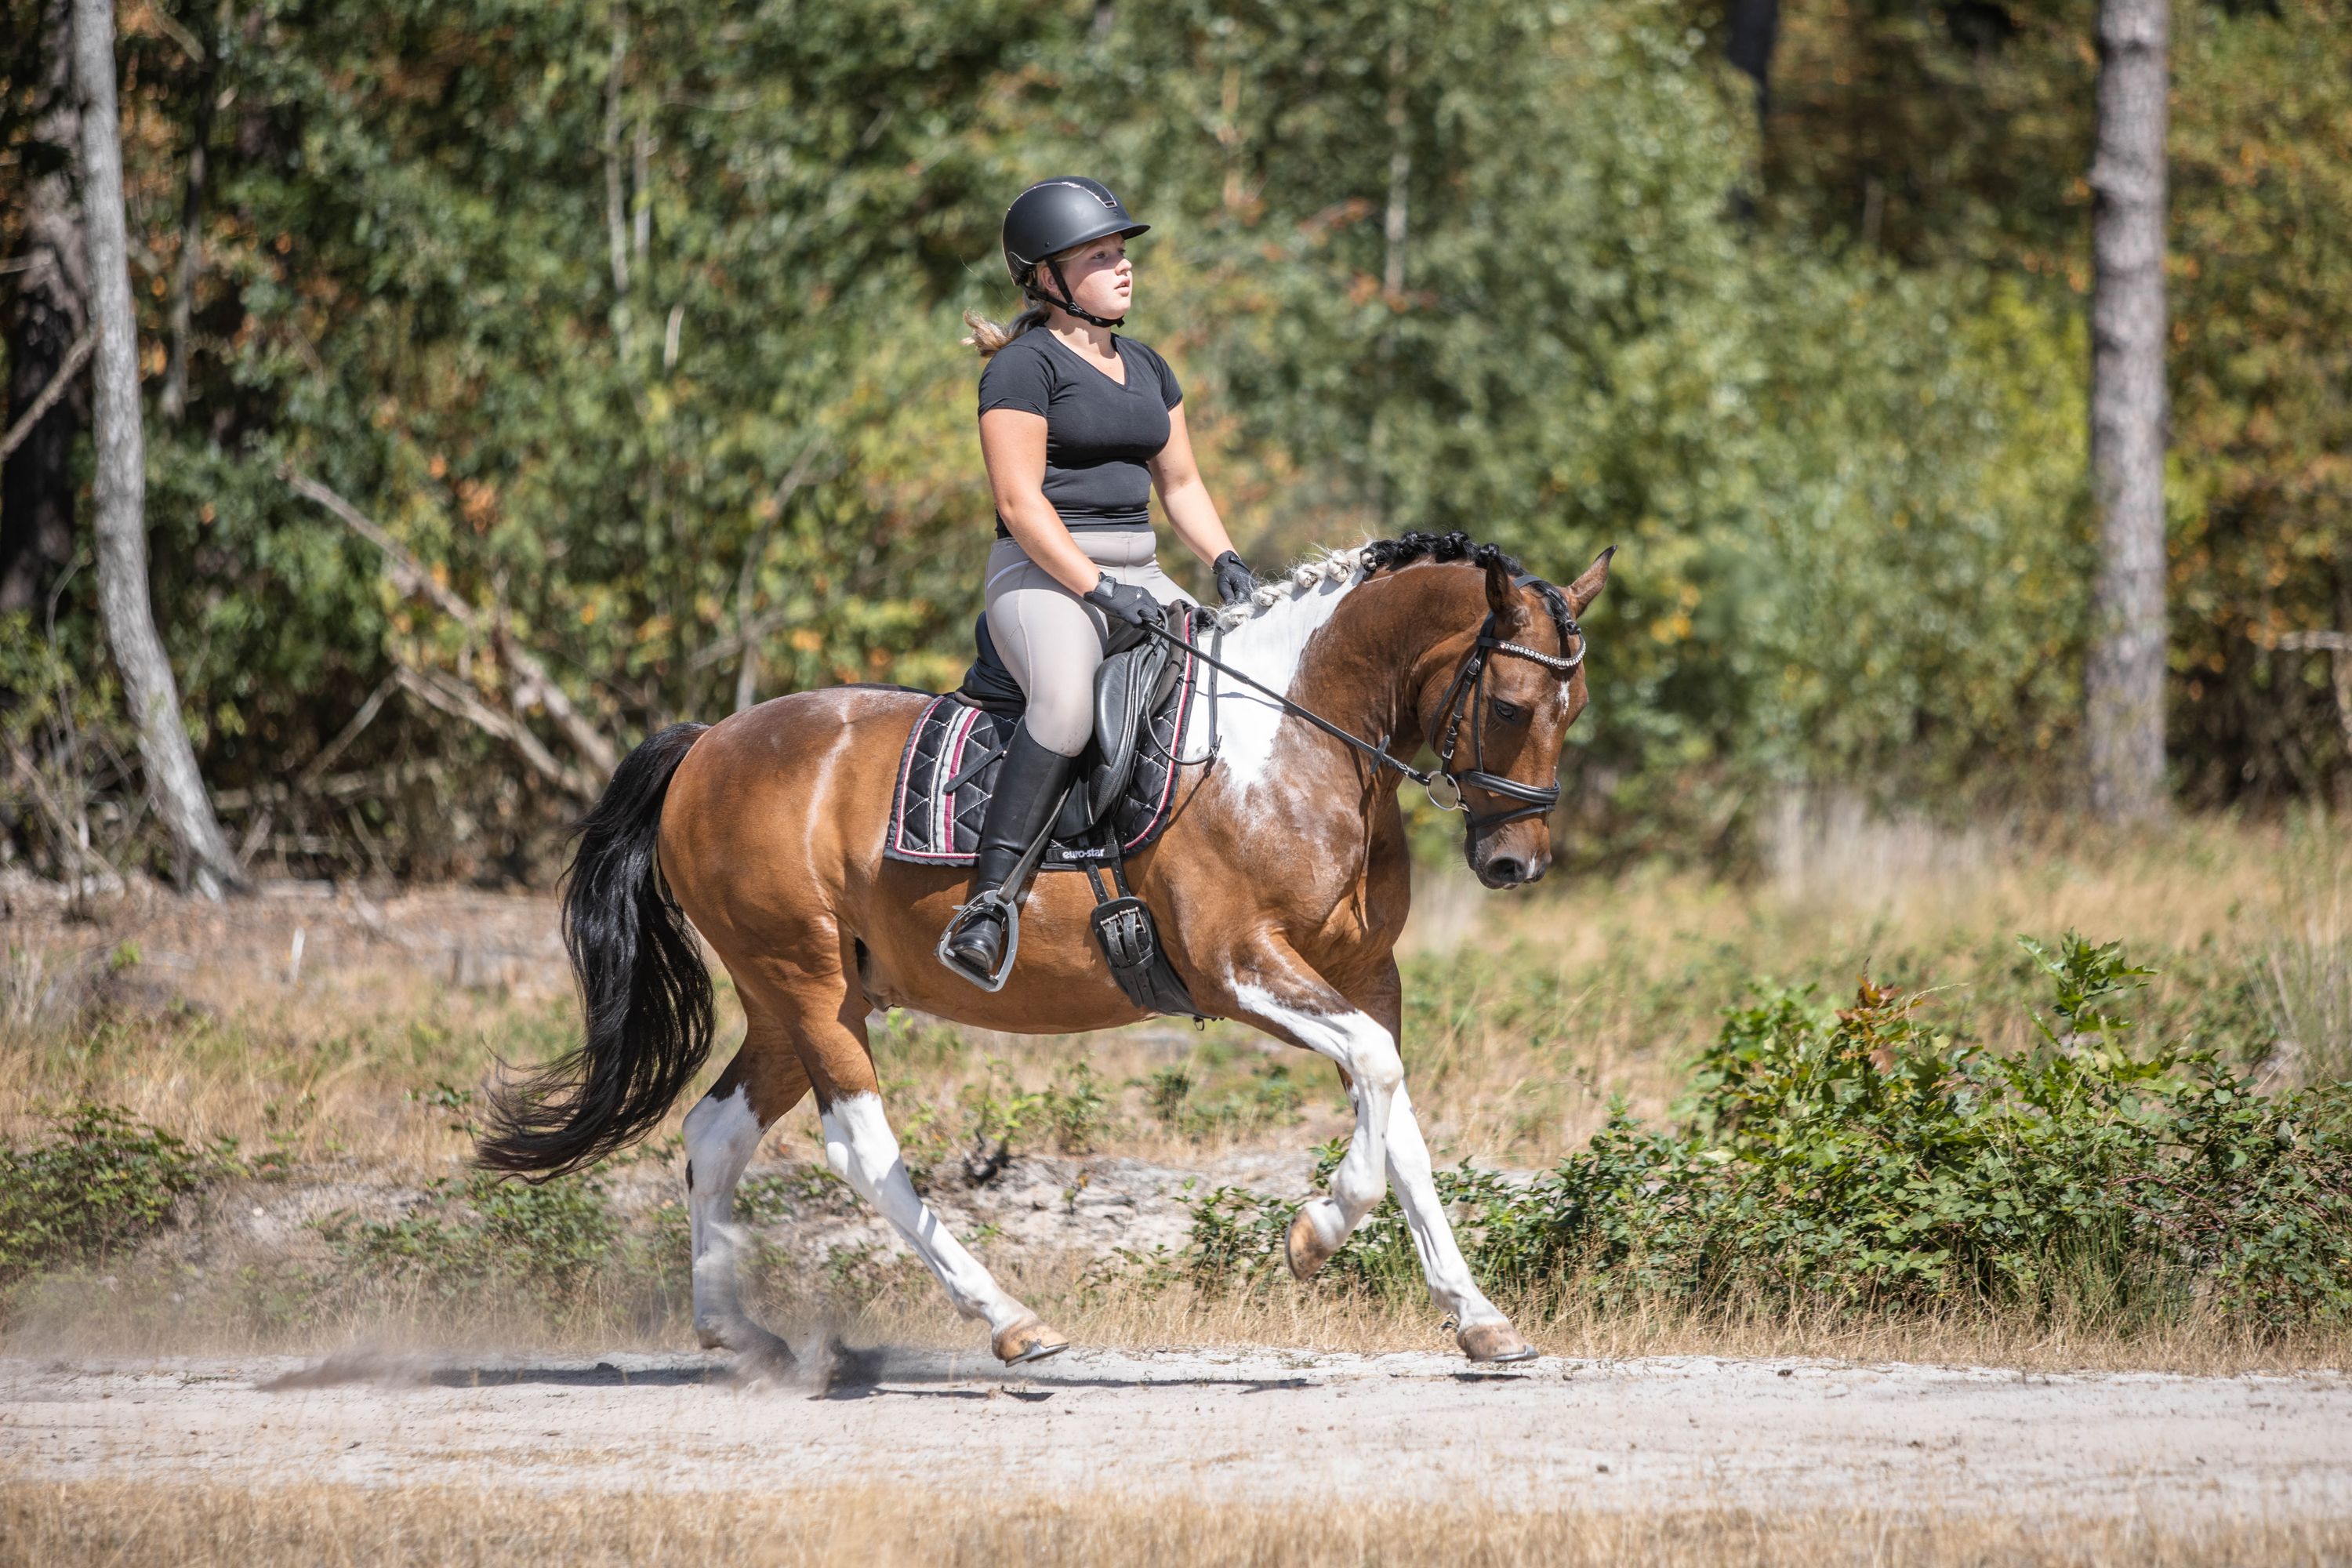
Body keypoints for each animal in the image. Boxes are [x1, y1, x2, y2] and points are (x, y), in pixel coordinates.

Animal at [477, 529, 1612, 1373]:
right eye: (1510, 704)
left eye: (1576, 709)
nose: (1515, 862)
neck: (1298, 741)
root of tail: (706, 744)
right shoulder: (1239, 963)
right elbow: (1378, 1079)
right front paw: (1314, 1234)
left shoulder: (1366, 977)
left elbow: (1401, 1121)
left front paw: (1478, 1318)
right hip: (808, 987)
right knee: (862, 1150)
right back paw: (1010, 1321)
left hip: (793, 1001)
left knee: (715, 1134)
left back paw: (739, 1334)